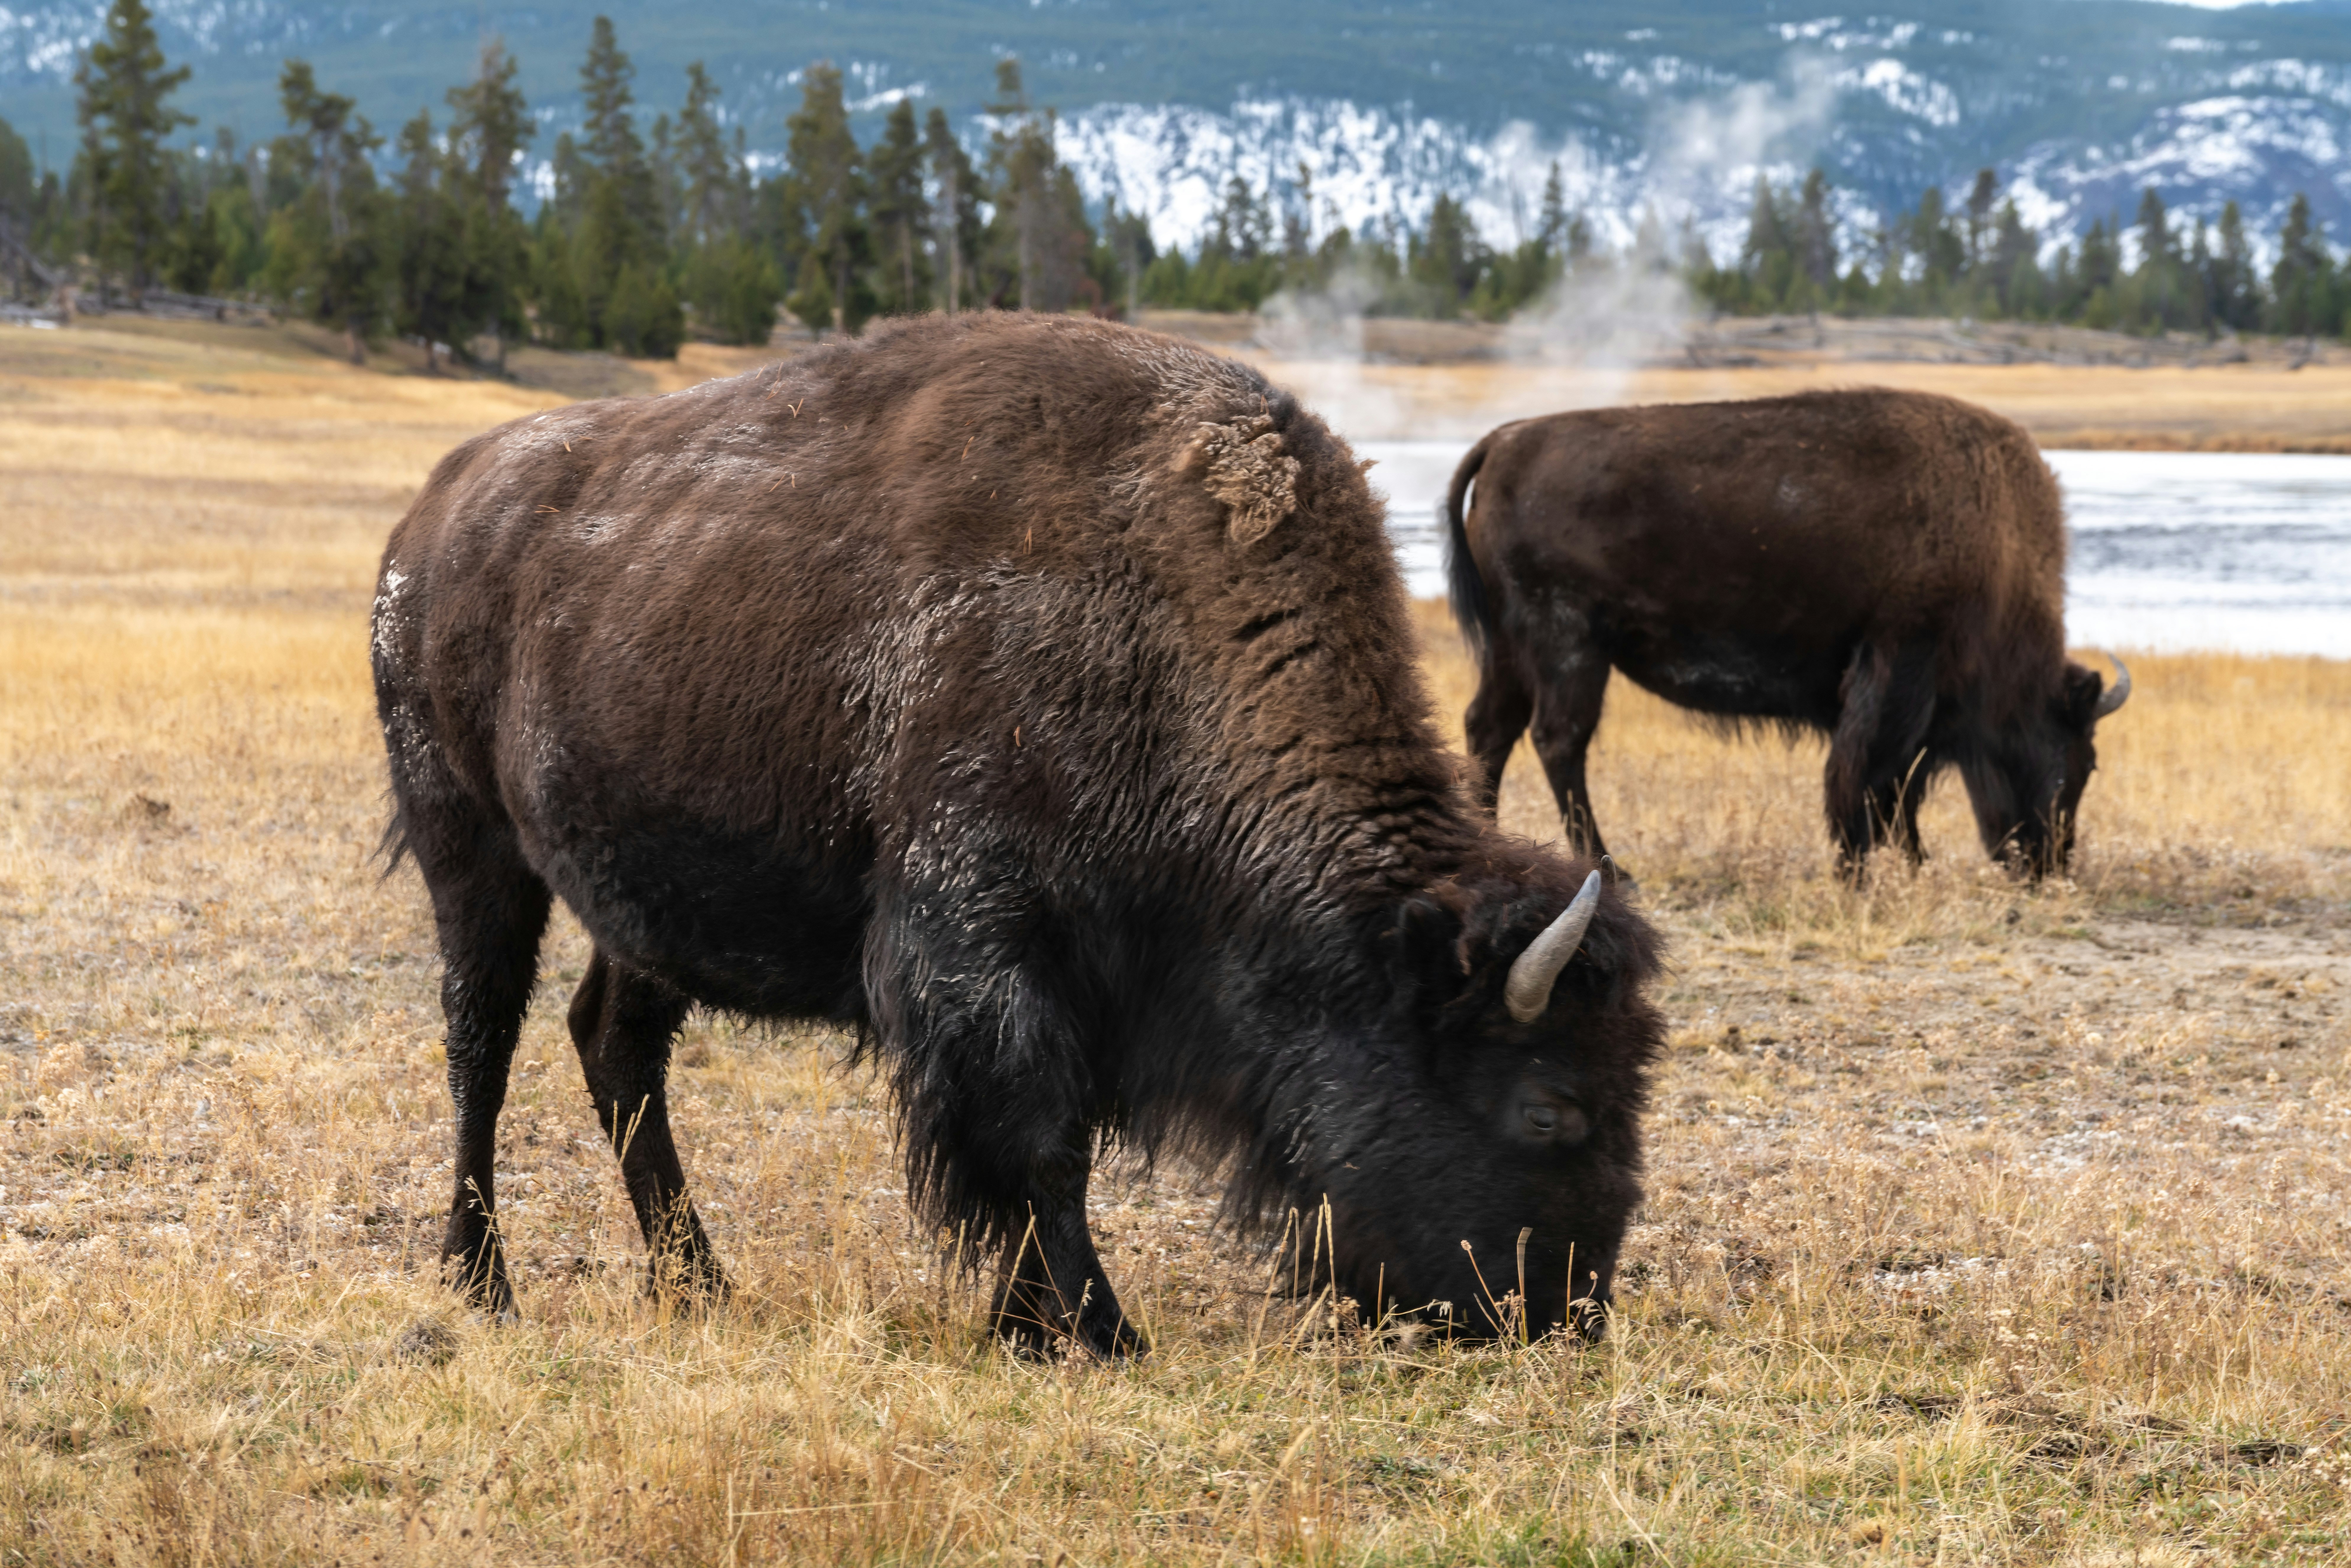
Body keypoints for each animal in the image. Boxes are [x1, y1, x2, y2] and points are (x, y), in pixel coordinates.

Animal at [372, 313, 1663, 1355]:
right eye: (1550, 1107)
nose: (1568, 1315)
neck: (1168, 623)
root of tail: (431, 513)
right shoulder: (984, 949)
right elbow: (1037, 1146)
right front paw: (1097, 1332)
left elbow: (1054, 1146)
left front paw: (1032, 1323)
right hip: (471, 851)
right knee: (481, 1045)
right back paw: (483, 1284)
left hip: (638, 906)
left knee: (614, 1045)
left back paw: (699, 1281)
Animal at [1444, 389, 2129, 877]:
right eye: (2075, 760)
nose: (2047, 864)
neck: (1996, 543)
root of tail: (1505, 442)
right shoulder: (1900, 665)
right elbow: (1871, 773)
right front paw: (1861, 868)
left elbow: (1896, 784)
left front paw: (1907, 861)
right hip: (1570, 644)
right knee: (1559, 739)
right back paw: (1611, 869)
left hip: (1511, 649)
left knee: (1492, 727)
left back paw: (1489, 846)